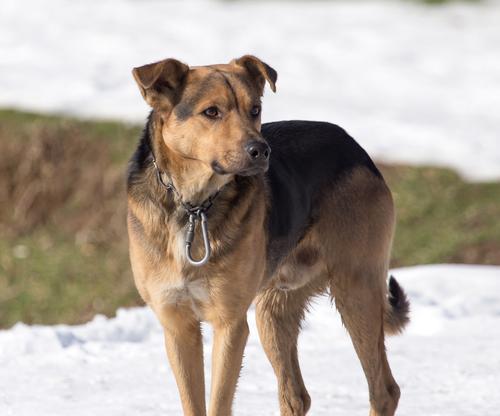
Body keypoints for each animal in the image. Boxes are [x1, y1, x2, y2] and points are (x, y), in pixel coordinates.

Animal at [127, 56, 408, 416]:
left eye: (255, 109)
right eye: (211, 112)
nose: (261, 151)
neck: (193, 206)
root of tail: (357, 149)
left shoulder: (229, 324)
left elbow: (218, 403)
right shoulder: (177, 325)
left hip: (356, 288)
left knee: (384, 390)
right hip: (273, 309)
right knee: (296, 396)